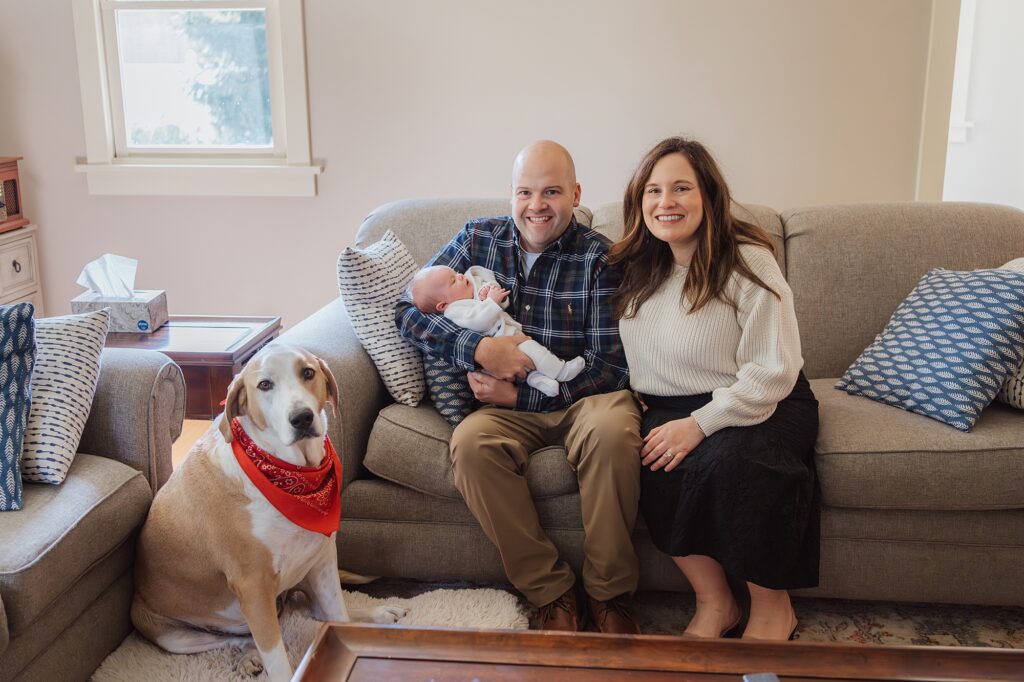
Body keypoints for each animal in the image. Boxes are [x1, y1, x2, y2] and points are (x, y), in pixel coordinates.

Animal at [132, 346, 407, 679]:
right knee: (238, 638)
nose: (302, 417)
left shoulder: (322, 559)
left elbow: (337, 617)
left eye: (307, 372)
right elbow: (277, 658)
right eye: (264, 385)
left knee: (316, 612)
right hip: (172, 635)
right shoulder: (252, 586)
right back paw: (248, 657)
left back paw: (380, 613)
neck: (289, 473)